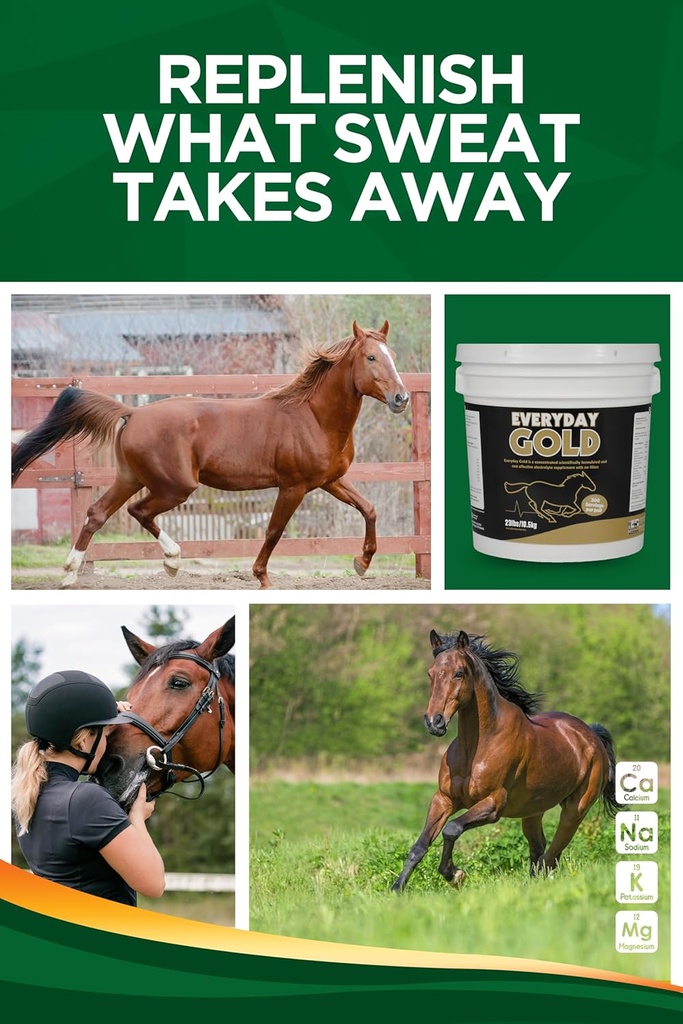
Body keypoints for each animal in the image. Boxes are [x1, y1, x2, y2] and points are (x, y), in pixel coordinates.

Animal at [11, 320, 409, 589]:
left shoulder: (330, 481)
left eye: (392, 356)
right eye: (371, 357)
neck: (313, 417)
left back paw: (70, 574)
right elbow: (274, 530)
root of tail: (133, 413)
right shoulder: (293, 487)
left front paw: (362, 563)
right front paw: (261, 578)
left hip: (131, 477)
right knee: (138, 511)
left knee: (97, 513)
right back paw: (172, 561)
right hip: (174, 487)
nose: (401, 398)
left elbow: (369, 509)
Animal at [391, 629, 620, 893]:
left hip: (576, 810)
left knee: (551, 855)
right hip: (532, 812)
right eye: (430, 672)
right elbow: (420, 846)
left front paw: (455, 875)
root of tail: (591, 734)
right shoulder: (444, 799)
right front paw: (397, 888)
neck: (477, 747)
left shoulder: (493, 804)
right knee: (539, 850)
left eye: (459, 673)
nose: (434, 722)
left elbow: (451, 829)